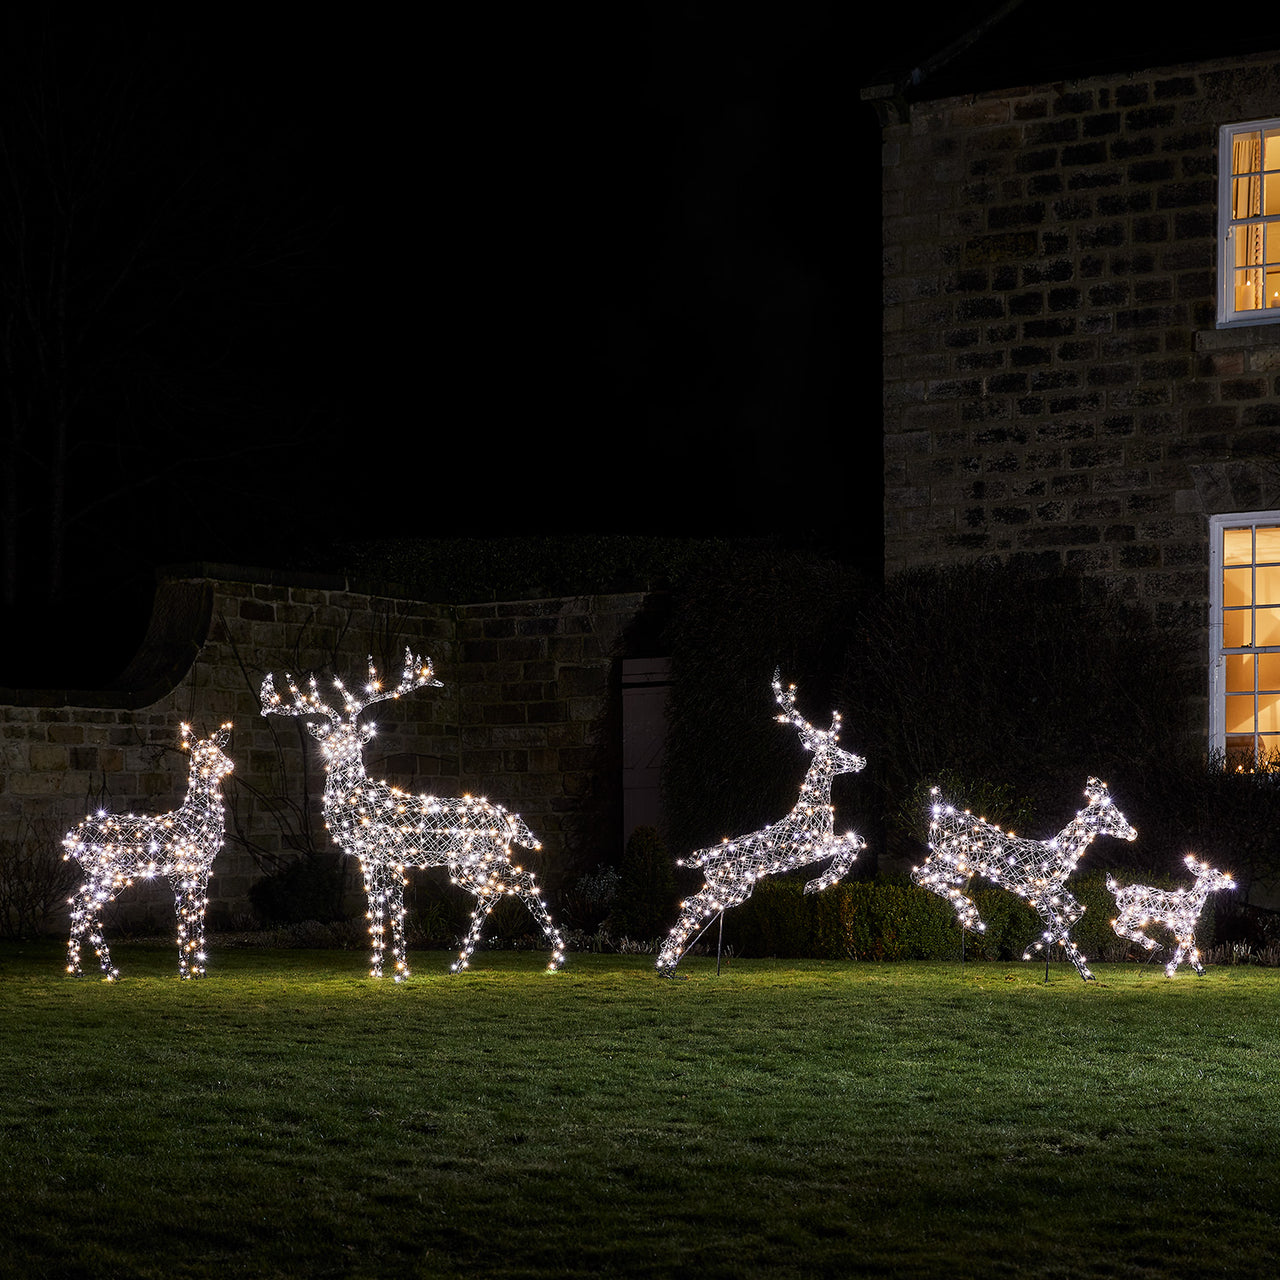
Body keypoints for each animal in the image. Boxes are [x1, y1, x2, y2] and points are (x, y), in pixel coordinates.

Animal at [62, 721, 234, 977]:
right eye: (204, 754)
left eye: (218, 750)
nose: (229, 765)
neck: (198, 816)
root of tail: (73, 836)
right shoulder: (195, 869)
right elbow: (193, 915)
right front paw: (195, 970)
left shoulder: (186, 872)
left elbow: (188, 914)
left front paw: (189, 970)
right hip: (107, 873)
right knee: (86, 904)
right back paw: (107, 969)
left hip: (96, 873)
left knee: (80, 902)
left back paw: (78, 968)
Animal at [257, 645, 563, 983]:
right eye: (331, 736)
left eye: (354, 737)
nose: (337, 753)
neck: (356, 798)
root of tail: (507, 820)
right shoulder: (373, 860)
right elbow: (380, 907)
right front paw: (384, 970)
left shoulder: (384, 855)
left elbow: (390, 908)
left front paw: (395, 970)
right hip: (469, 863)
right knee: (498, 890)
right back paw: (464, 963)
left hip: (479, 858)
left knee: (518, 882)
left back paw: (552, 957)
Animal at [655, 675, 865, 972]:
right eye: (833, 750)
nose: (861, 759)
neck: (814, 808)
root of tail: (705, 857)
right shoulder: (815, 845)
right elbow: (853, 842)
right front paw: (814, 884)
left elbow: (855, 841)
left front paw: (815, 884)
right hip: (729, 885)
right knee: (693, 905)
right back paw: (667, 965)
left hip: (732, 888)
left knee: (693, 904)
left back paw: (669, 963)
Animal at [916, 778, 1136, 977]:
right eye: (1112, 814)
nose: (1132, 833)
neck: (1058, 853)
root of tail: (940, 809)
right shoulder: (1036, 892)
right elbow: (1058, 923)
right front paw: (1078, 968)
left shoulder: (1053, 889)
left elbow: (1074, 912)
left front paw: (1078, 968)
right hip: (952, 860)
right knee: (920, 875)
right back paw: (975, 921)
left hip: (956, 865)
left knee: (928, 877)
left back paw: (972, 920)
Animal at [1105, 855, 1233, 972]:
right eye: (1217, 875)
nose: (1230, 882)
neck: (1192, 902)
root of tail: (1119, 892)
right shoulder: (1181, 926)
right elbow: (1185, 943)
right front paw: (1170, 969)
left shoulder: (1187, 927)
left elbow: (1190, 943)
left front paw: (1199, 969)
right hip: (1135, 914)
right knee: (1119, 927)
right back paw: (1155, 945)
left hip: (1134, 915)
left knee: (1119, 927)